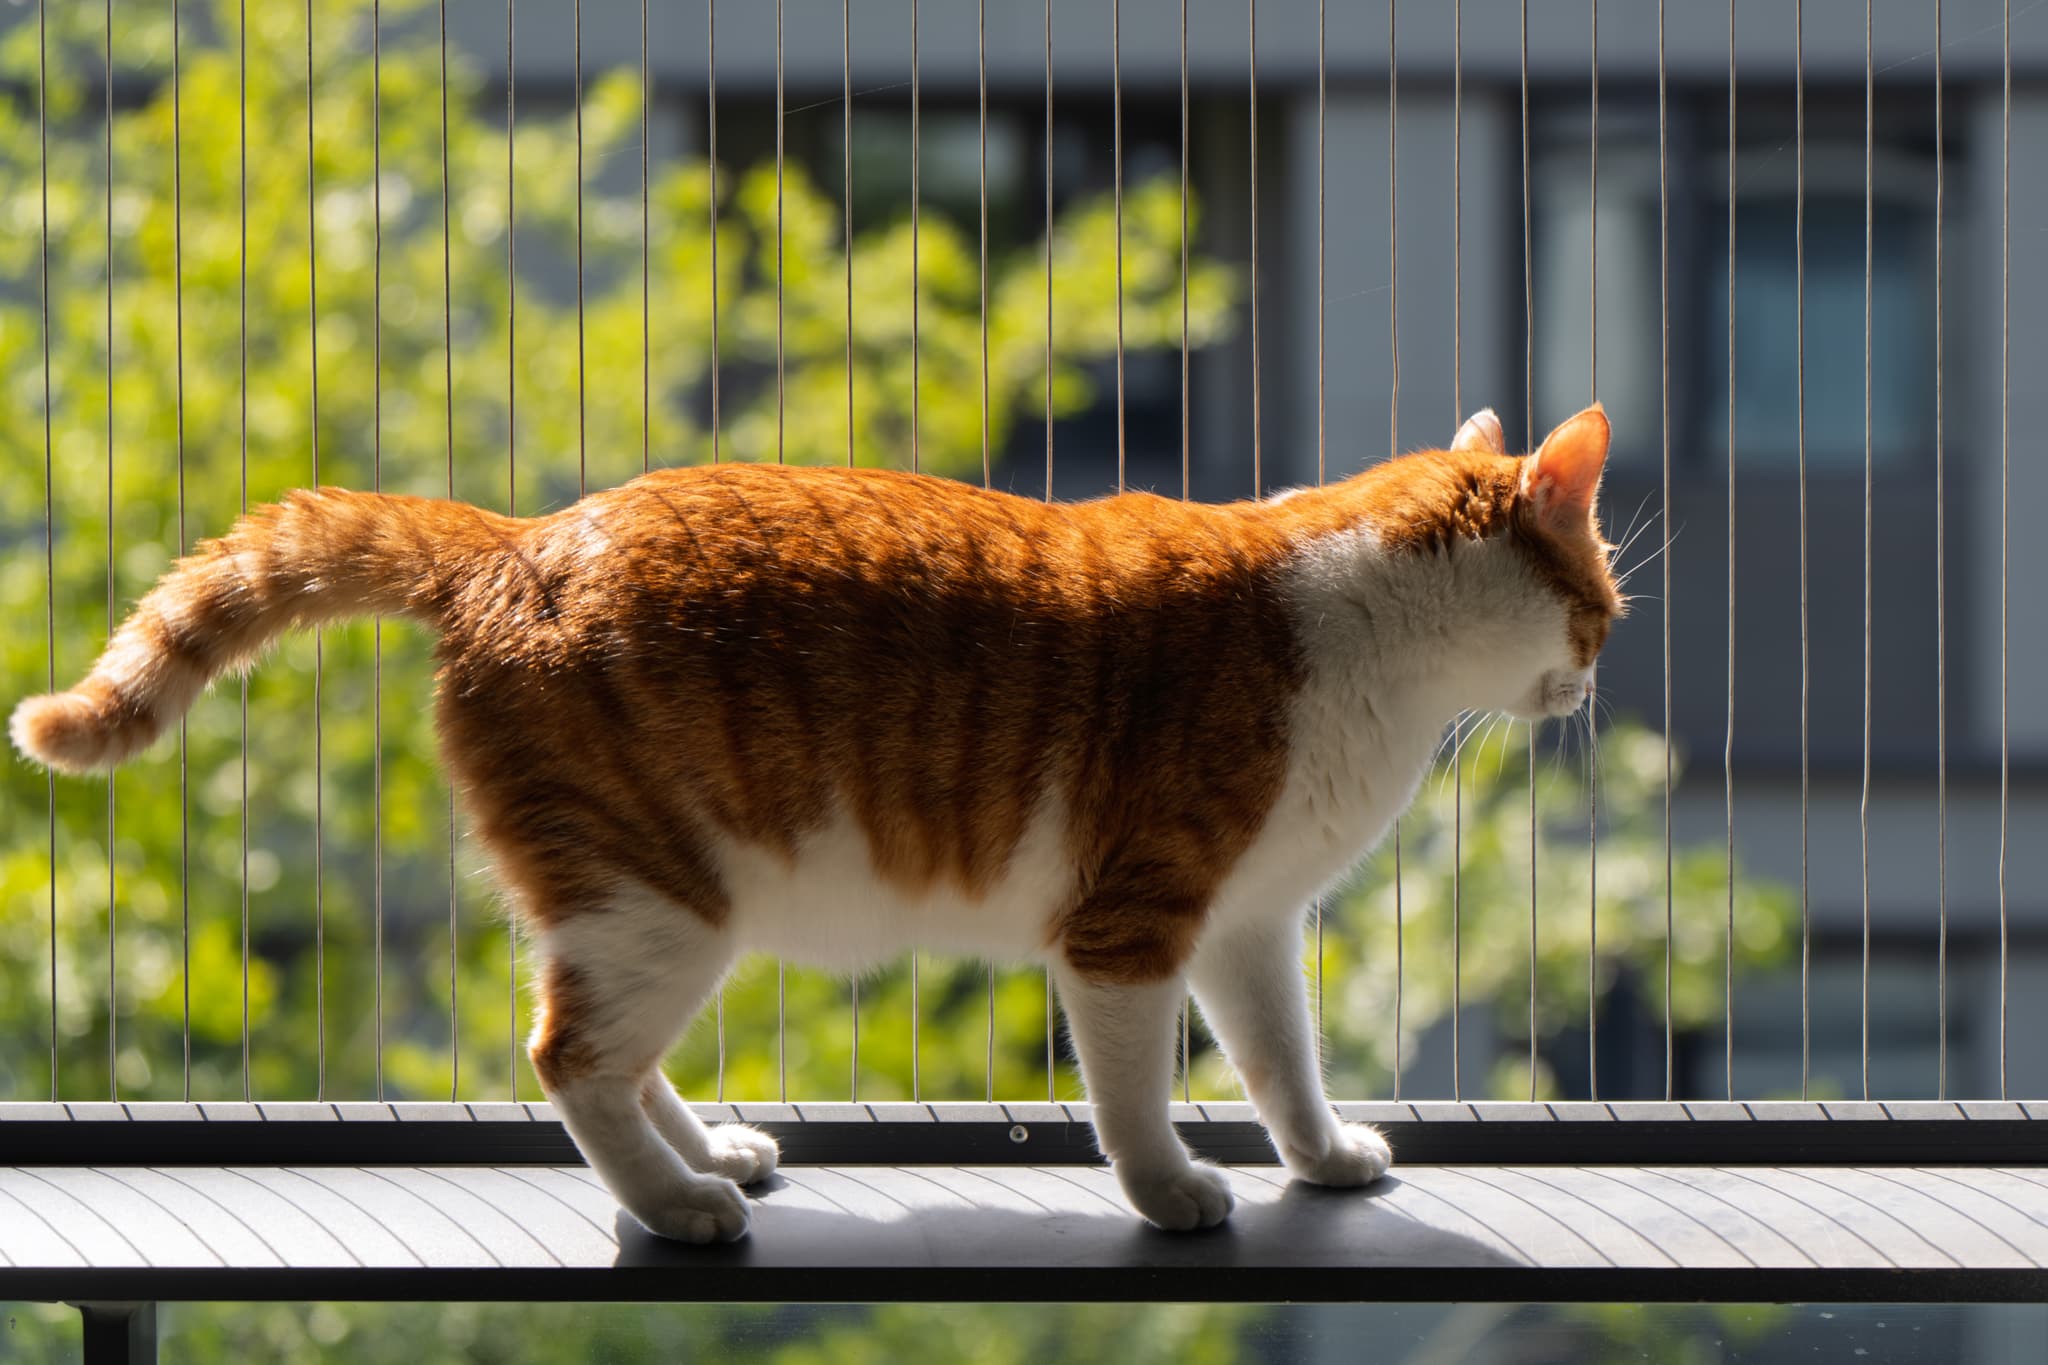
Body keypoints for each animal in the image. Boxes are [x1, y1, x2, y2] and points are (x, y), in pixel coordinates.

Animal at [12, 401, 1613, 1244]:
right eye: (1598, 601)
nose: (1592, 671)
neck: (1357, 628)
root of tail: (513, 544)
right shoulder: (1129, 929)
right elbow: (1132, 1096)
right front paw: (1168, 1191)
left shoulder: (1245, 925)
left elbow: (1281, 1063)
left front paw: (1322, 1155)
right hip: (660, 901)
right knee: (568, 1058)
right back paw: (675, 1207)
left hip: (639, 910)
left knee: (603, 1048)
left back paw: (707, 1159)